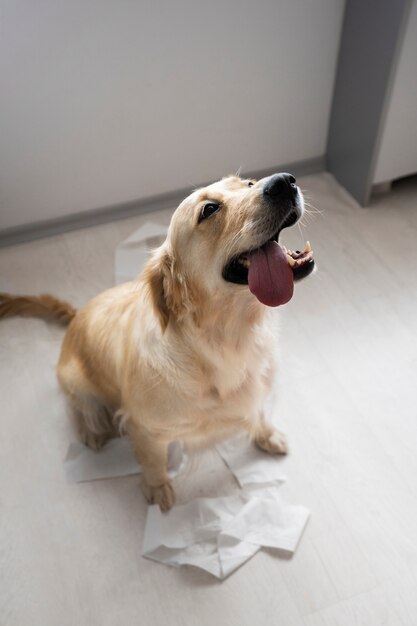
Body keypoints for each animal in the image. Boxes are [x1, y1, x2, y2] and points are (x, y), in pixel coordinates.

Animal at [0, 172, 312, 508]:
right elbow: (153, 460)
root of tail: (75, 315)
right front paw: (157, 486)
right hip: (75, 382)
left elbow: (259, 413)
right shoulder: (146, 428)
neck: (227, 340)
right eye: (209, 209)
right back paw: (92, 432)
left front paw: (268, 434)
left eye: (249, 183)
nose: (284, 182)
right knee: (80, 409)